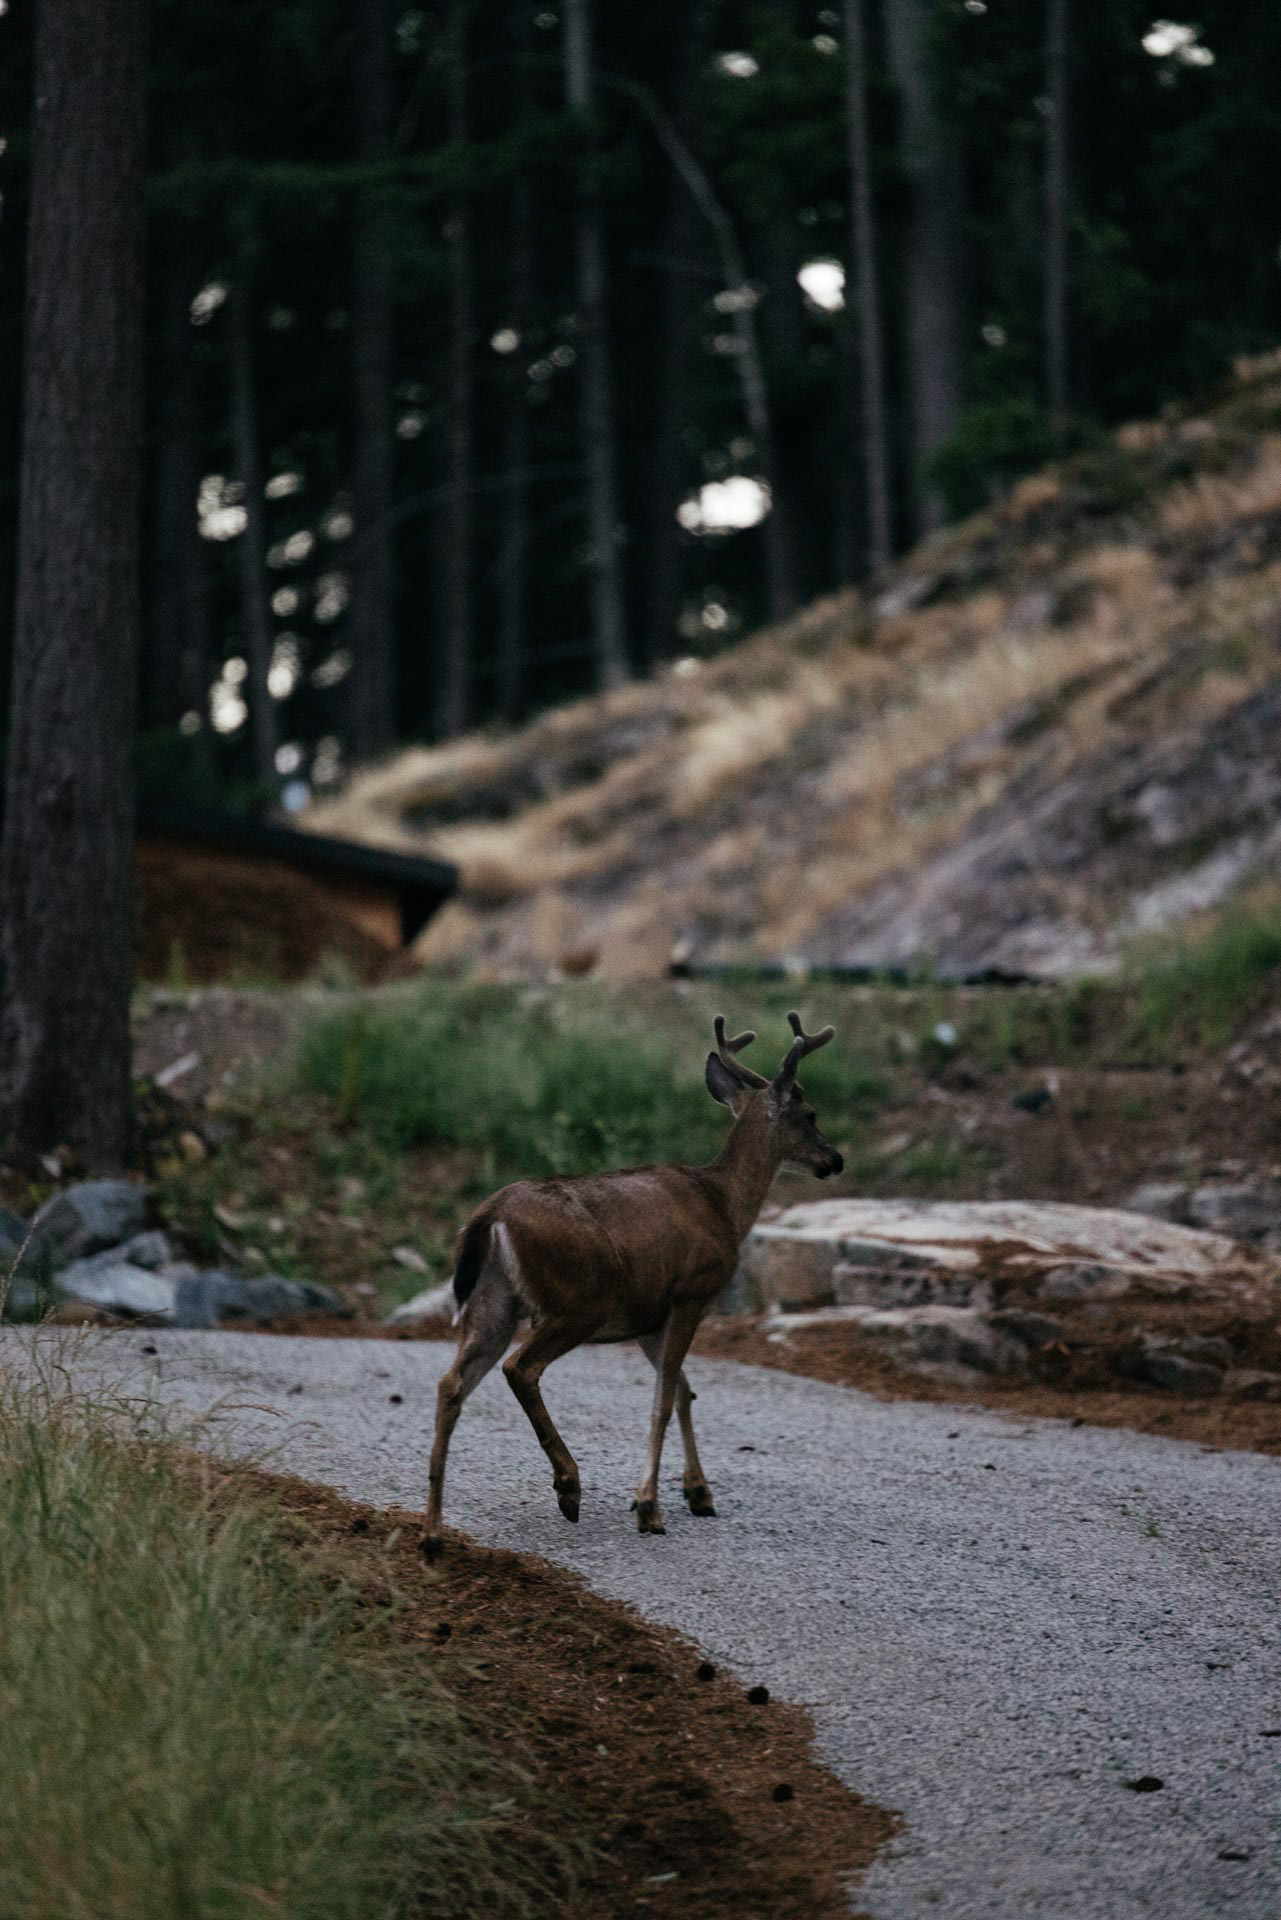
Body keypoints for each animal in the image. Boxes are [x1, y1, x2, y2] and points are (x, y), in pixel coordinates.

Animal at [420, 1011, 843, 1561]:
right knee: (520, 1367)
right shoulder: (691, 1292)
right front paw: (649, 1507)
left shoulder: (649, 1316)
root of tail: (488, 1217)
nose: (835, 1160)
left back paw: (432, 1533)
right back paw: (569, 1484)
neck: (724, 1205)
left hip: (494, 1303)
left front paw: (698, 1493)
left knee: (451, 1383)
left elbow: (682, 1390)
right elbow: (662, 1399)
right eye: (810, 1114)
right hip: (579, 1299)